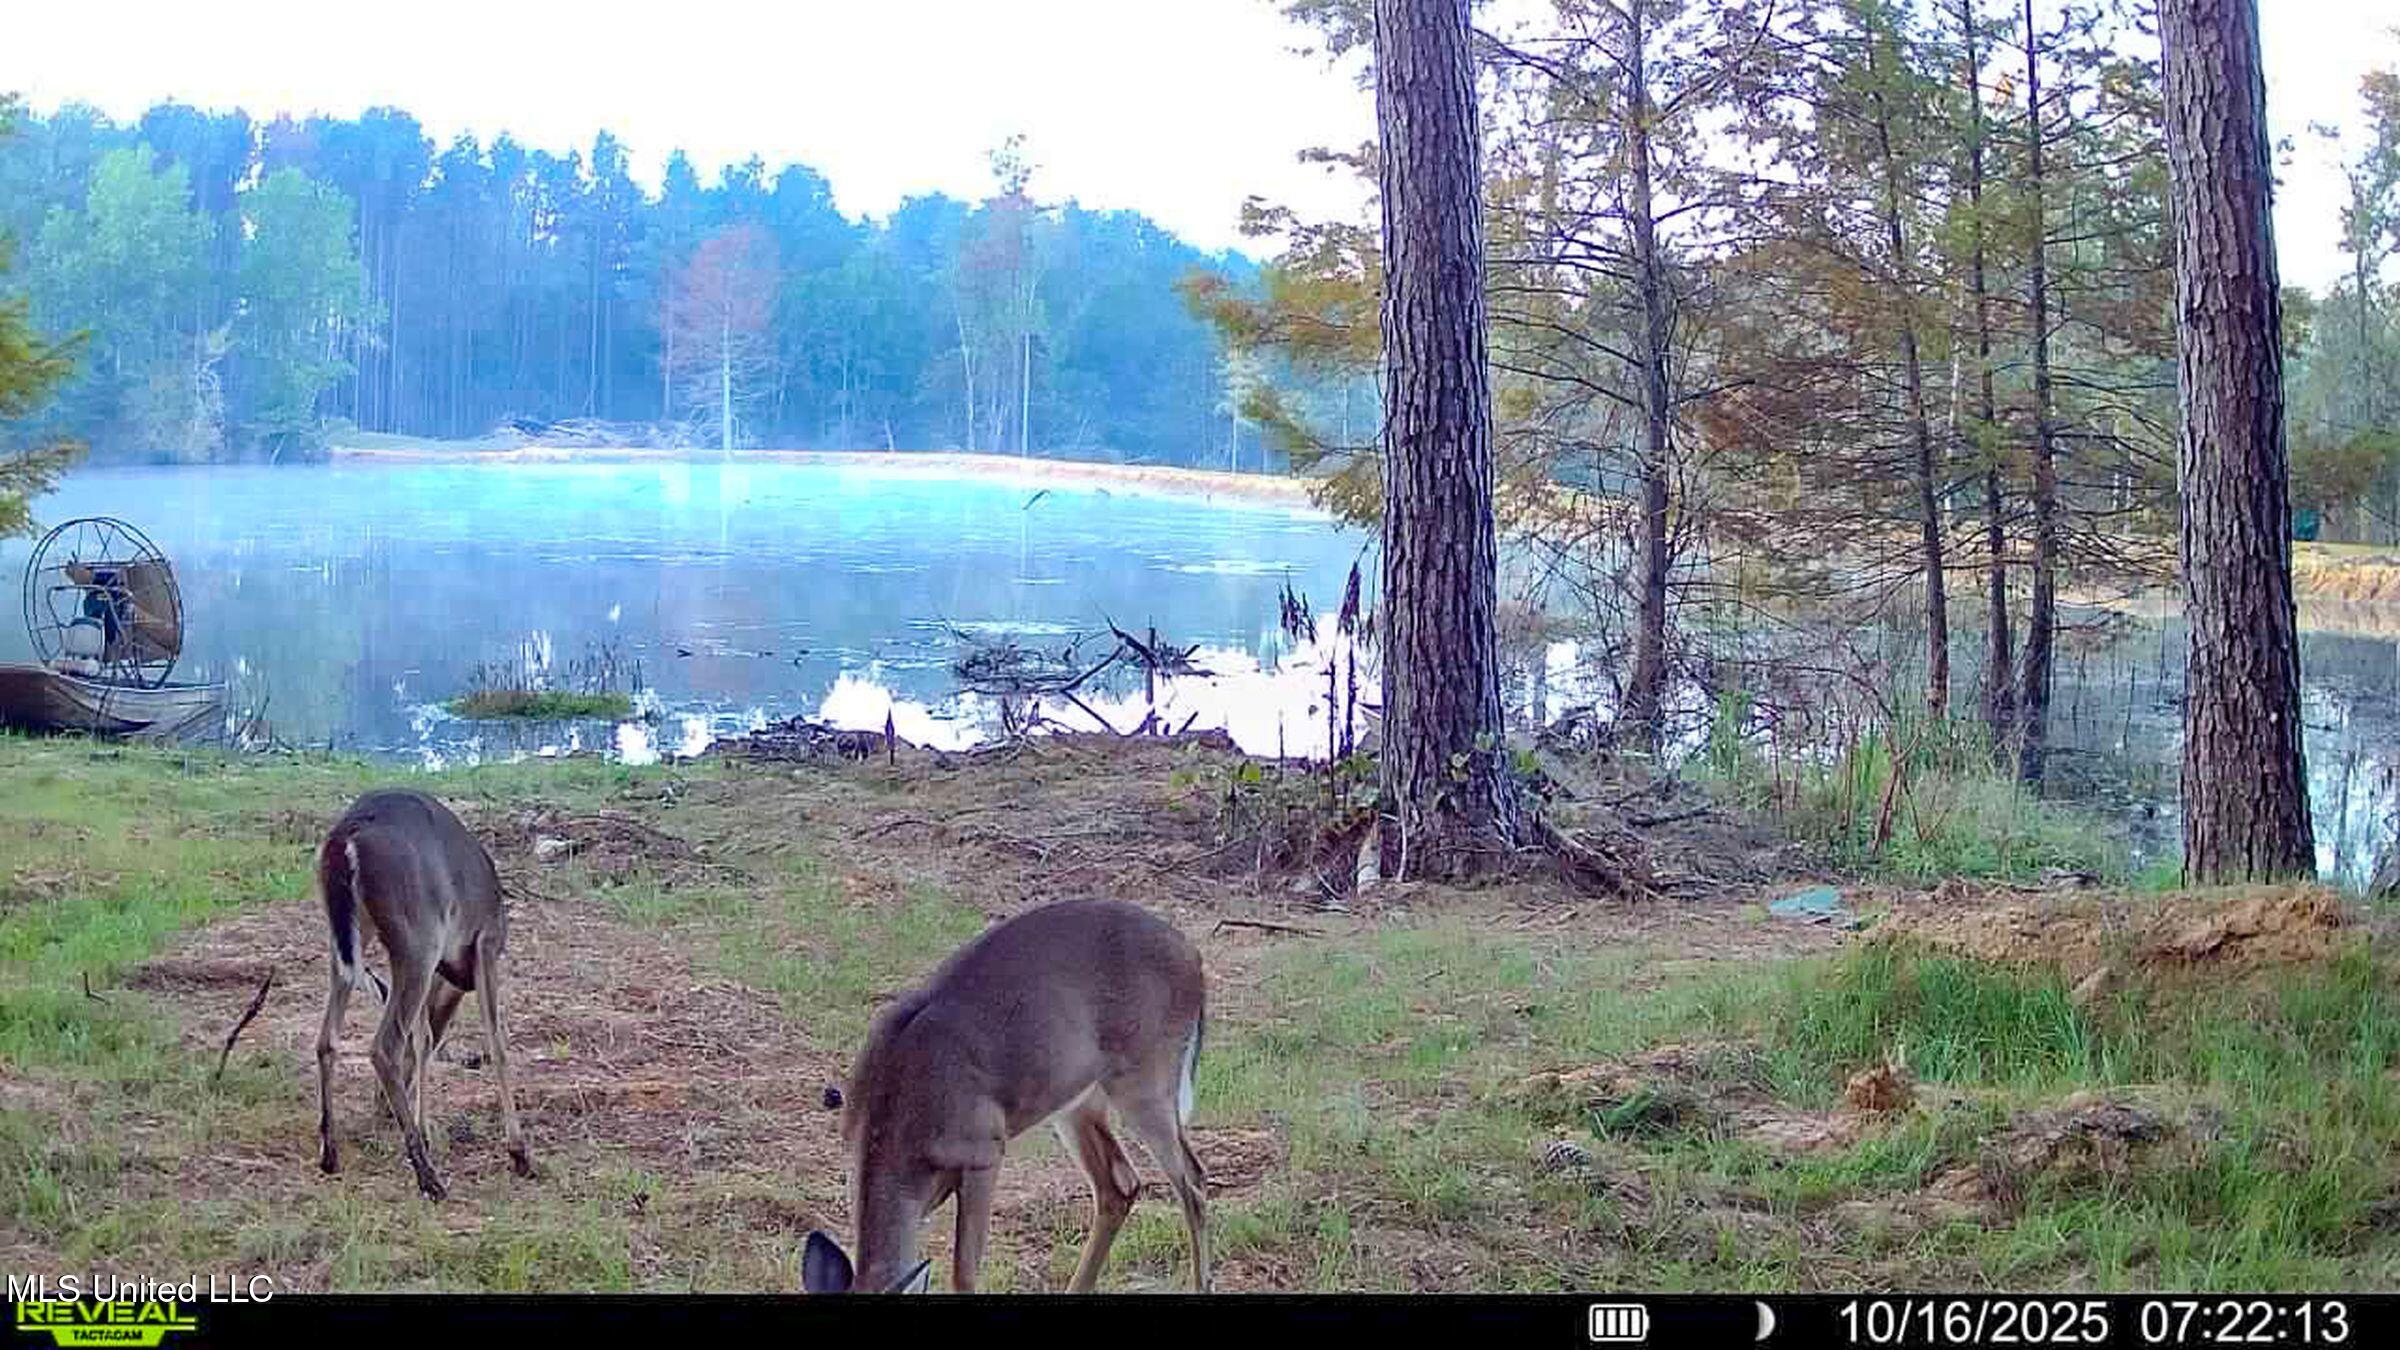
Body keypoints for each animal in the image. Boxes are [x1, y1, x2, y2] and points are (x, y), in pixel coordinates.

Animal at [315, 788, 532, 1200]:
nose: (380, 1110)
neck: (453, 976)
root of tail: (348, 832)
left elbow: (424, 1039)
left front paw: (427, 1129)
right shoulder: (486, 942)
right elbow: (496, 1042)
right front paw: (519, 1152)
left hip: (351, 936)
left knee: (327, 1039)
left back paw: (330, 1154)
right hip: (417, 935)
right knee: (384, 1045)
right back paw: (428, 1177)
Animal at [802, 897, 1210, 1295]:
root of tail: (1194, 957)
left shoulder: (984, 1150)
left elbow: (964, 1274)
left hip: (1148, 1078)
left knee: (1193, 1181)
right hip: (1076, 1101)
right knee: (1120, 1184)